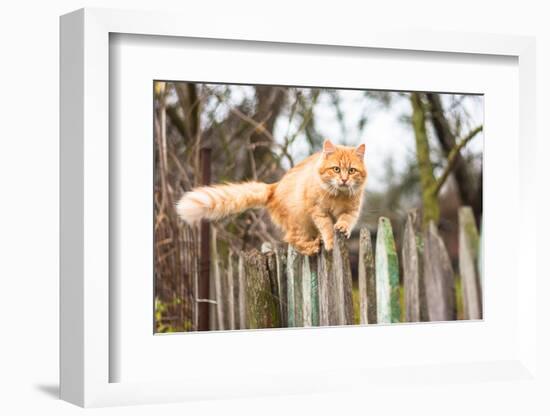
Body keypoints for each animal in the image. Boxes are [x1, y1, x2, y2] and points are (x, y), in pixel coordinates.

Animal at [177, 140, 366, 255]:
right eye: (336, 169)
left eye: (351, 171)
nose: (344, 180)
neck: (338, 196)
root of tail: (274, 187)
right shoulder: (318, 210)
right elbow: (326, 227)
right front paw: (330, 242)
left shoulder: (352, 211)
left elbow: (346, 220)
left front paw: (342, 228)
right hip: (299, 222)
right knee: (293, 240)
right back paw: (312, 247)